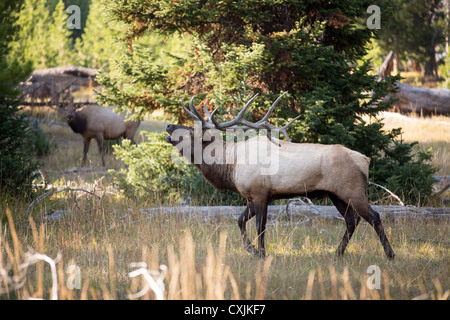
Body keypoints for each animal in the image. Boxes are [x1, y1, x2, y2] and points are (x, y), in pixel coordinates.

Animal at [165, 92, 394, 260]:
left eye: (191, 131)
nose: (168, 125)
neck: (230, 165)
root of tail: (365, 160)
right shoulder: (251, 197)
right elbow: (240, 221)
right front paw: (252, 250)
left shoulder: (260, 193)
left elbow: (260, 226)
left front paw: (261, 253)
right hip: (336, 194)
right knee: (351, 220)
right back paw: (337, 253)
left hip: (353, 190)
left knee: (374, 216)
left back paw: (390, 254)